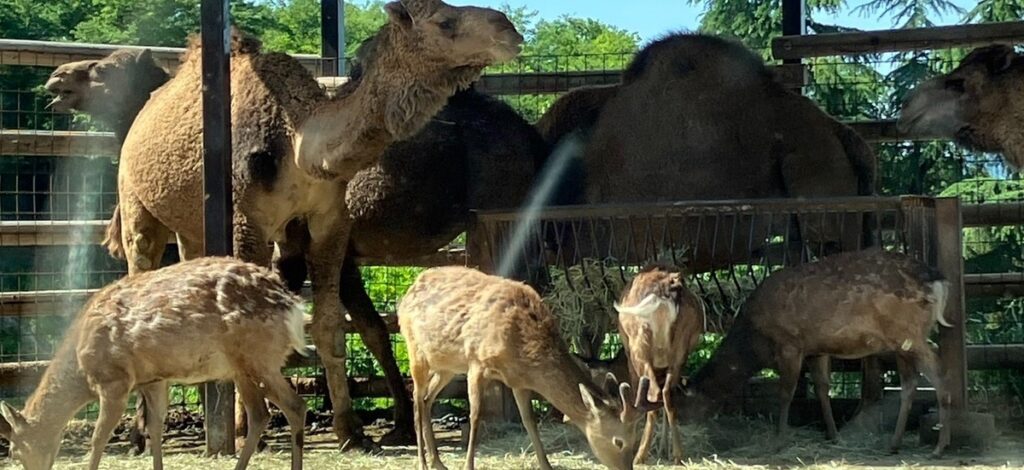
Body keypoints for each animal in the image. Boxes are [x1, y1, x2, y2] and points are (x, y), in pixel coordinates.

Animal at [0, 258, 307, 470]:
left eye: (14, 450)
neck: (81, 368)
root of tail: (294, 307)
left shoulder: (114, 381)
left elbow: (98, 438)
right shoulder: (154, 380)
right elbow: (156, 428)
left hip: (259, 358)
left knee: (295, 405)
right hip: (241, 368)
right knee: (260, 414)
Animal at [108, 0, 524, 450]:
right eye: (445, 22)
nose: (509, 29)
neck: (297, 143)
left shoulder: (328, 222)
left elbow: (329, 326)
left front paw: (351, 430)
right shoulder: (248, 221)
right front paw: (246, 429)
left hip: (192, 228)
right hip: (136, 204)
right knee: (140, 267)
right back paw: (142, 431)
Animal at [395, 266, 651, 468]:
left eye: (634, 439)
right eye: (618, 441)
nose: (627, 468)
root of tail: (405, 296)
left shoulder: (517, 381)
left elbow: (529, 421)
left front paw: (546, 465)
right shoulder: (476, 362)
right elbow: (475, 417)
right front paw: (468, 465)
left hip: (446, 366)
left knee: (427, 399)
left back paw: (438, 462)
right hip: (415, 351)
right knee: (417, 400)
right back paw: (423, 462)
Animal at [610, 262, 708, 464]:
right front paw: (664, 449)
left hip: (639, 344)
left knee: (653, 393)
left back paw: (639, 456)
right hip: (681, 345)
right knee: (667, 393)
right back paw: (678, 454)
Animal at [679, 251, 950, 458]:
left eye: (681, 403)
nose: (682, 427)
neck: (756, 340)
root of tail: (936, 279)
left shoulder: (790, 344)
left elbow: (785, 393)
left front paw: (780, 440)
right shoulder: (816, 350)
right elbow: (821, 389)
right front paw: (834, 436)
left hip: (908, 333)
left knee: (937, 372)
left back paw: (939, 447)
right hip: (902, 341)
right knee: (910, 383)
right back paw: (894, 445)